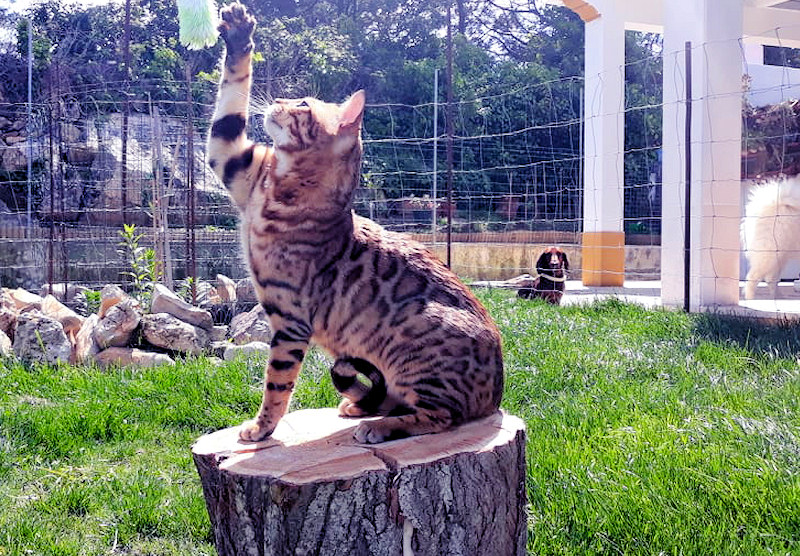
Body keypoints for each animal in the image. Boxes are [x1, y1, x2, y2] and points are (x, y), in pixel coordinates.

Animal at [207, 2, 503, 444]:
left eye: (303, 105)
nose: (278, 97)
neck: (282, 185)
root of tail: (498, 396)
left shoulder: (290, 322)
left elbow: (277, 384)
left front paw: (261, 428)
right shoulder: (232, 158)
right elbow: (231, 98)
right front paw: (240, 34)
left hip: (417, 341)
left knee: (441, 416)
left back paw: (381, 427)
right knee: (397, 399)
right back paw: (360, 407)